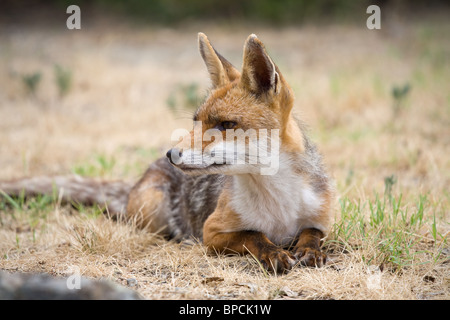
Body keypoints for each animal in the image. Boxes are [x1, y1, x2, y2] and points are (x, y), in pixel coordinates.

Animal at [0, 32, 330, 272]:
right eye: (197, 122)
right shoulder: (213, 232)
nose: (172, 154)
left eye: (226, 125)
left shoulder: (322, 220)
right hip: (154, 212)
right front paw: (273, 253)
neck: (277, 207)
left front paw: (308, 251)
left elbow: (311, 234)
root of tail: (141, 177)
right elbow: (254, 236)